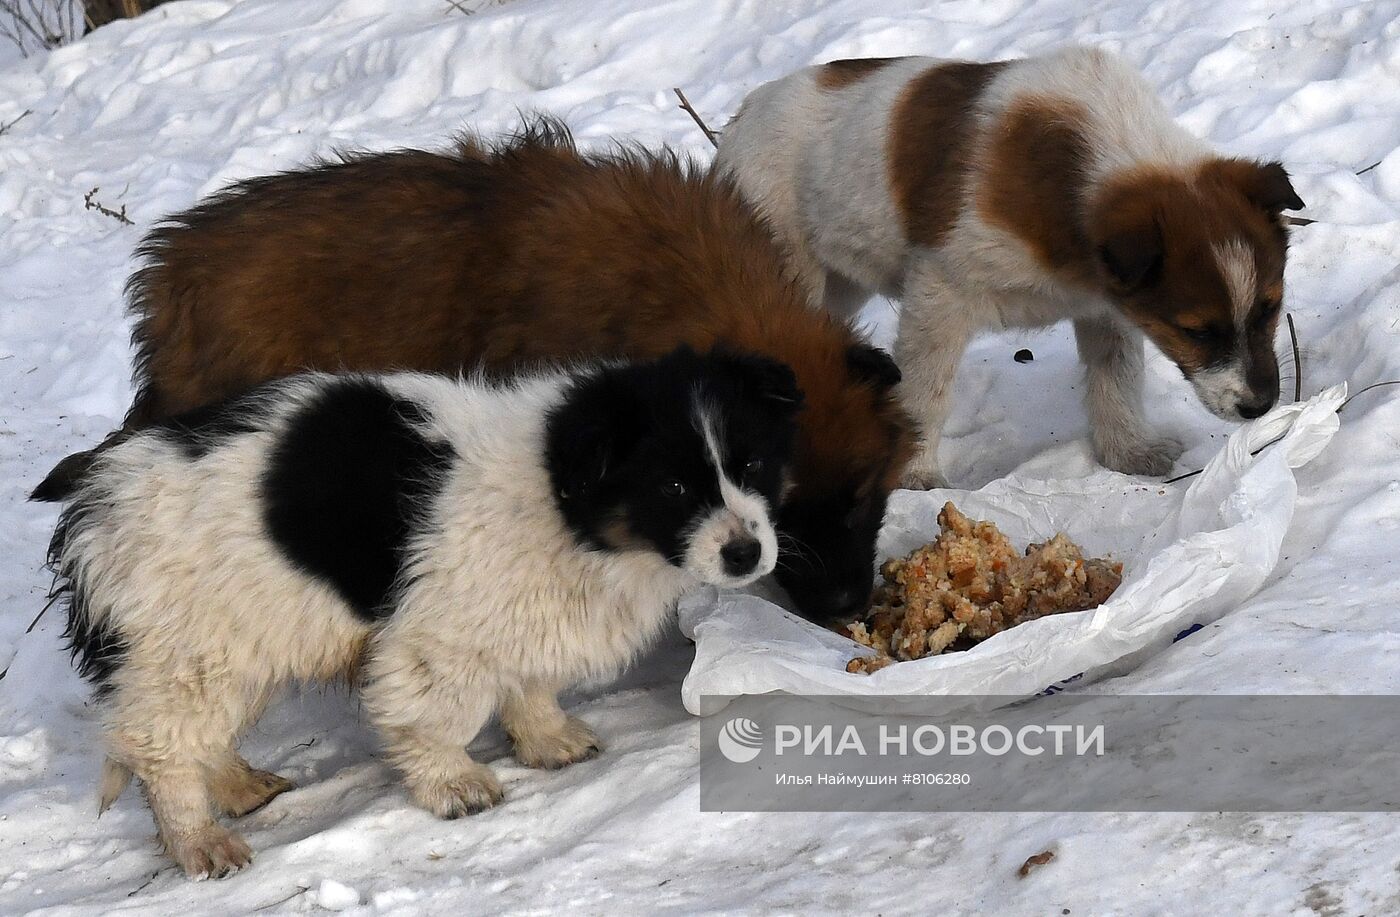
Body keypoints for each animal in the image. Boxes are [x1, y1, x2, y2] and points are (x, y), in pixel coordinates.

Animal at [38, 348, 800, 879]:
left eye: (754, 466)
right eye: (673, 487)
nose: (746, 553)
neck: (559, 493)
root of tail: (95, 504)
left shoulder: (522, 612)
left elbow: (530, 682)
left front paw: (548, 738)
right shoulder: (438, 635)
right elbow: (436, 716)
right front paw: (454, 784)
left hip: (242, 636)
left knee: (197, 734)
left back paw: (237, 784)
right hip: (191, 644)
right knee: (161, 747)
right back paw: (200, 840)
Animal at [716, 44, 1304, 487]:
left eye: (1270, 309)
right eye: (1197, 332)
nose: (1259, 407)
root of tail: (739, 120)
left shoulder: (1106, 306)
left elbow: (1116, 378)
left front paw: (1127, 453)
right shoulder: (940, 292)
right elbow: (924, 391)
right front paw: (915, 475)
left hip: (838, 283)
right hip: (791, 272)